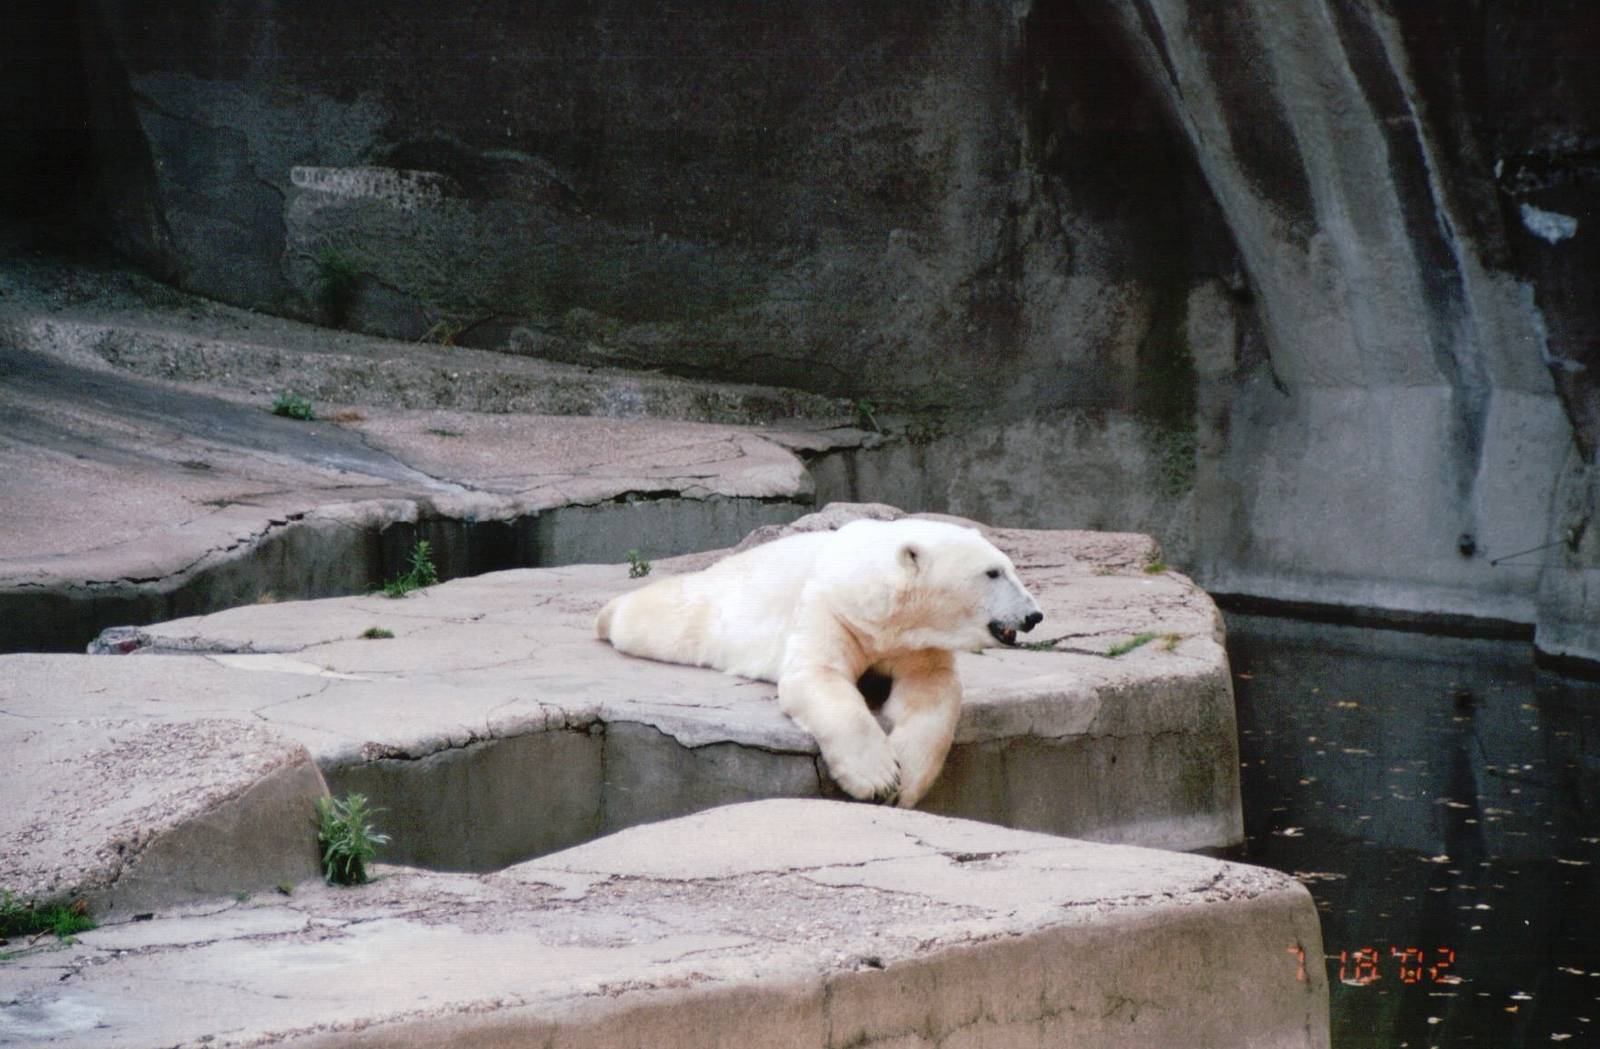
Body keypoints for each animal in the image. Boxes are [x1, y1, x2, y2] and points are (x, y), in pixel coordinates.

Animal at [595, 517, 1043, 807]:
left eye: (1010, 568)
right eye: (992, 573)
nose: (1034, 615)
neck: (887, 606)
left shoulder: (917, 643)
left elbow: (931, 689)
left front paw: (907, 780)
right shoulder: (831, 607)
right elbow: (817, 674)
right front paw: (878, 779)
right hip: (713, 609)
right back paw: (607, 615)